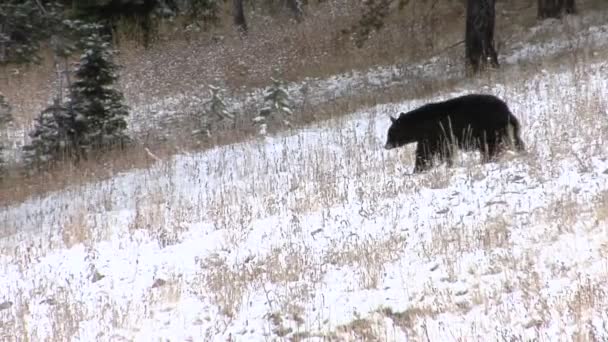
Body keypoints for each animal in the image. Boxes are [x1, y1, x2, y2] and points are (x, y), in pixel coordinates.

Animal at [388, 93, 524, 172]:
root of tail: (506, 110)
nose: (386, 145)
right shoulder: (430, 138)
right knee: (515, 140)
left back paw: (487, 160)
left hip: (489, 128)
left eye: (390, 133)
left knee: (490, 146)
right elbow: (426, 152)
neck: (420, 125)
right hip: (504, 128)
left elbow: (430, 152)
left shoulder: (436, 134)